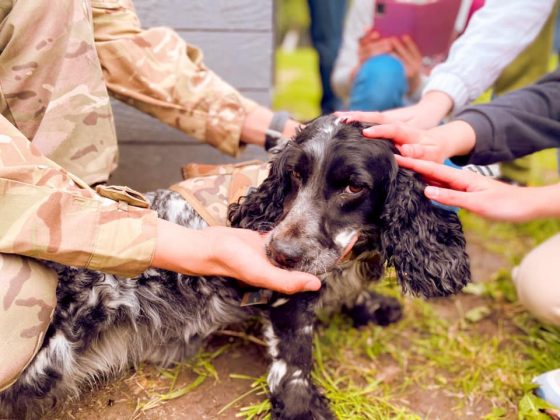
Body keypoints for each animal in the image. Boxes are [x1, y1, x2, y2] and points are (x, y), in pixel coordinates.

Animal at [0, 115, 472, 420]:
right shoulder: (287, 294)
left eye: (354, 186)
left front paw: (372, 305)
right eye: (293, 176)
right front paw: (301, 408)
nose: (280, 253)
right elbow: (294, 358)